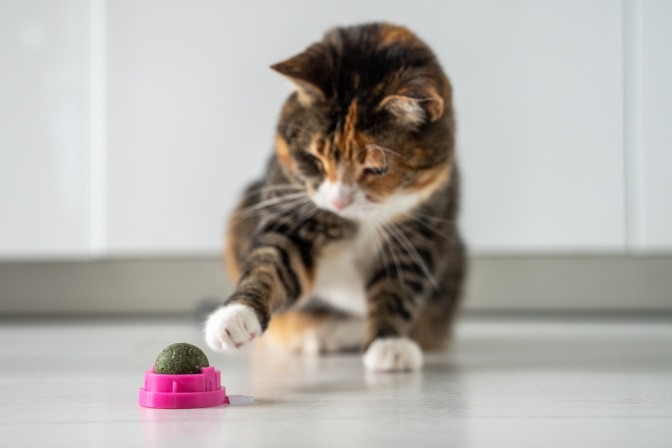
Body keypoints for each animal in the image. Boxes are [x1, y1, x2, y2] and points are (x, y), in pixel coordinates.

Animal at [207, 21, 464, 372]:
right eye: (314, 159)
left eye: (377, 169)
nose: (339, 201)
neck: (356, 221)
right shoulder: (294, 210)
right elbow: (273, 263)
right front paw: (234, 317)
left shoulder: (421, 224)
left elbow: (397, 284)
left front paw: (389, 344)